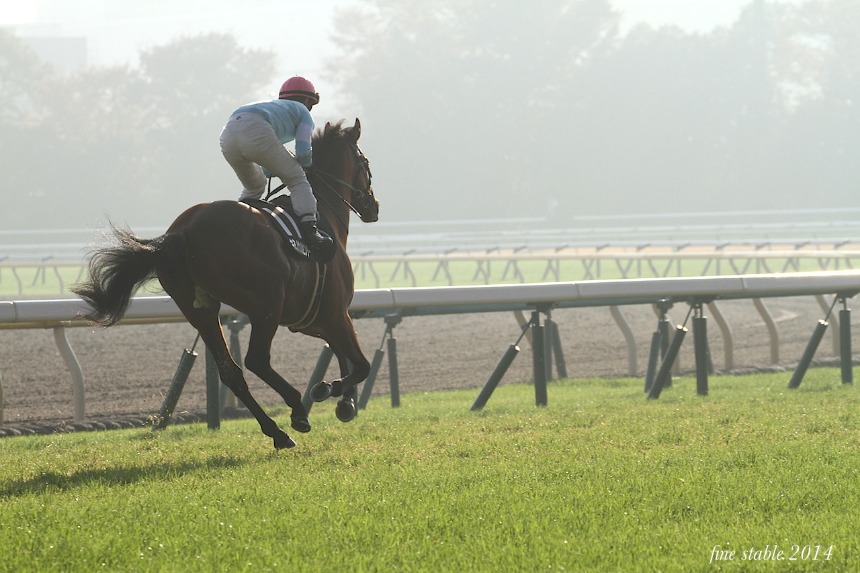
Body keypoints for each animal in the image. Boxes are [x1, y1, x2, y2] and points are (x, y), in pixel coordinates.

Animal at [74, 117, 380, 446]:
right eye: (365, 162)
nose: (374, 207)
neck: (324, 216)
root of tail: (184, 231)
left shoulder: (313, 320)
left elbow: (341, 353)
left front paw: (346, 402)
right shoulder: (335, 313)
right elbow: (360, 364)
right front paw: (330, 391)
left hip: (199, 309)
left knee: (230, 370)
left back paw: (276, 431)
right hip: (267, 303)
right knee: (256, 360)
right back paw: (297, 409)